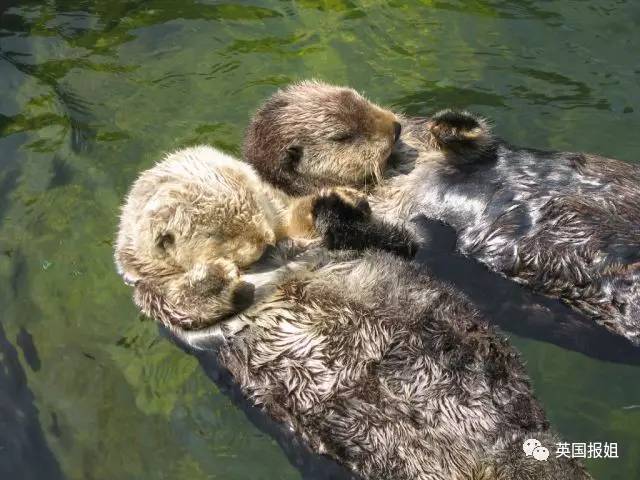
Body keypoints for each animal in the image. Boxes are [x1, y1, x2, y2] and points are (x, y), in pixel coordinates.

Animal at [114, 145, 592, 480]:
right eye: (223, 235)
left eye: (260, 209)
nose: (265, 241)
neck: (271, 260)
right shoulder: (161, 307)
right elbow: (184, 306)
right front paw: (216, 276)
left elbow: (399, 242)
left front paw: (333, 203)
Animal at [244, 80, 640, 346]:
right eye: (342, 136)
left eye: (358, 96)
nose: (394, 126)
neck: (398, 169)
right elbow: (406, 243)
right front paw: (335, 206)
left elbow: (477, 145)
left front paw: (451, 124)